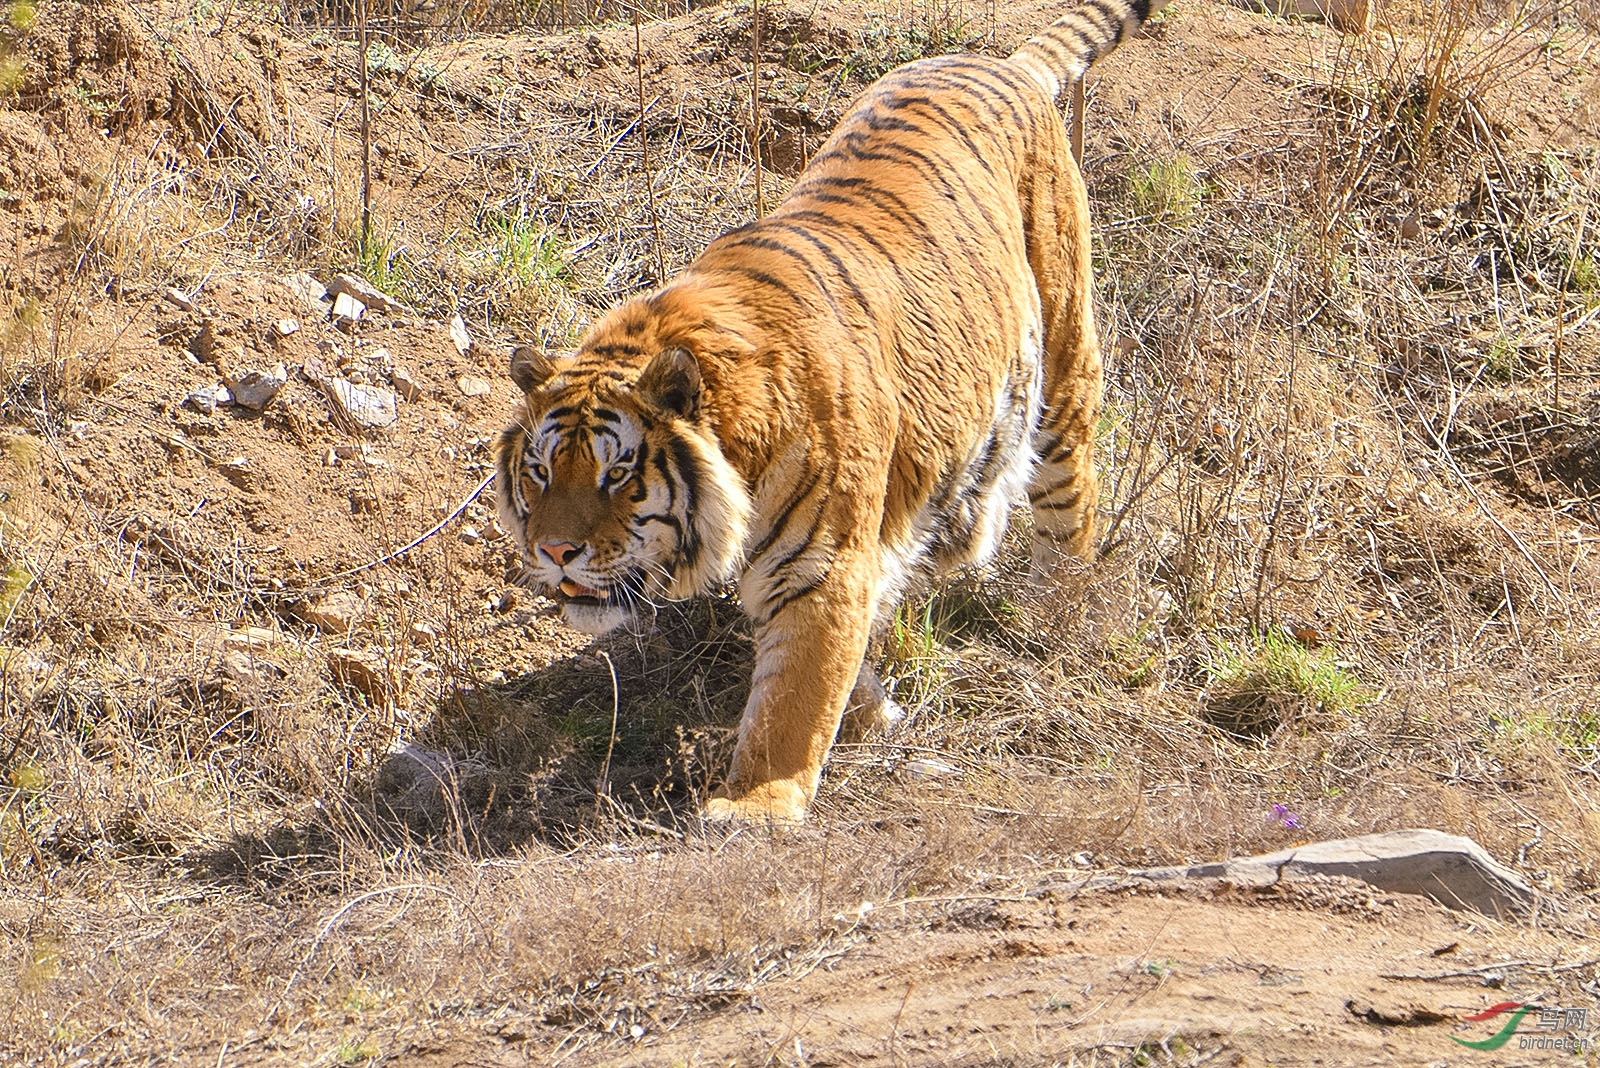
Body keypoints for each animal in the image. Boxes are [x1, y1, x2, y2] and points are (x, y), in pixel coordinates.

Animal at [492, 0, 1171, 824]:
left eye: (616, 475)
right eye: (538, 471)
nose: (556, 553)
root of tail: (1000, 63)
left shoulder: (822, 567)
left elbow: (794, 698)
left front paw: (756, 805)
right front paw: (874, 713)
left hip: (1066, 366)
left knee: (1069, 507)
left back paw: (1061, 615)